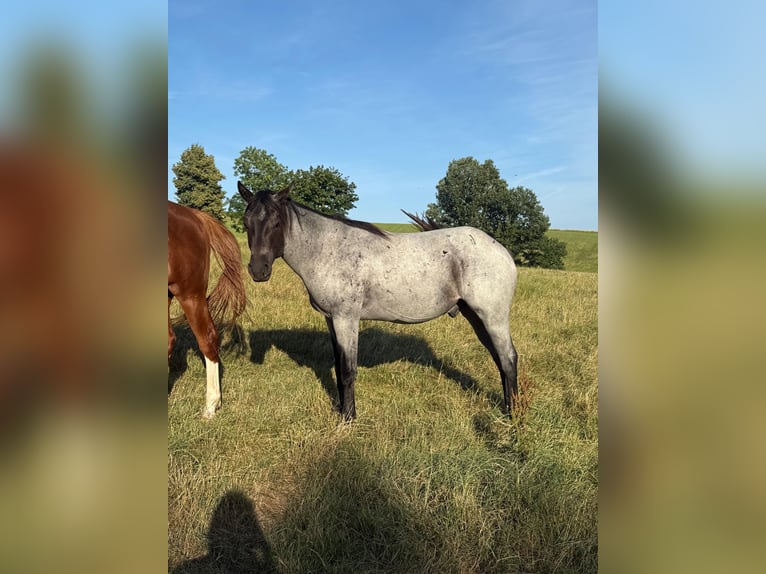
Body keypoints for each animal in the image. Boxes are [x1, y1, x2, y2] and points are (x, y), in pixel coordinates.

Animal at [236, 181, 518, 420]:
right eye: (246, 222)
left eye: (276, 223)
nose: (258, 270)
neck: (327, 250)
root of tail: (501, 250)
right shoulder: (331, 320)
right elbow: (338, 368)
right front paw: (341, 410)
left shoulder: (346, 319)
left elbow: (348, 370)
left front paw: (348, 419)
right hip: (476, 317)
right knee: (499, 360)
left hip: (492, 317)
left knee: (508, 359)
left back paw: (513, 414)